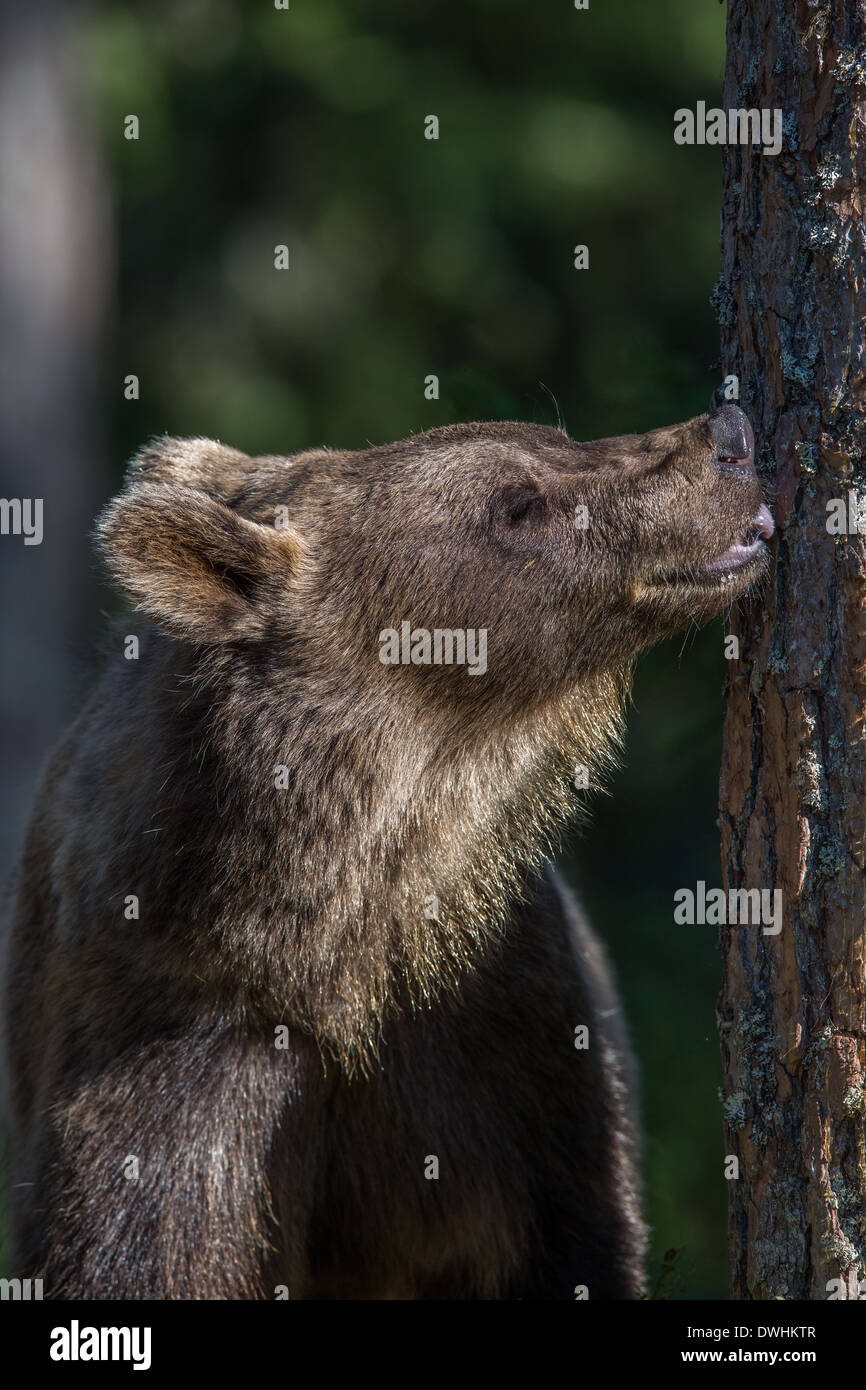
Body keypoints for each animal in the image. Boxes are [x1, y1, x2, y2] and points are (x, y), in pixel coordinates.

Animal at [1, 400, 773, 1299]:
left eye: (557, 434)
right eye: (517, 504)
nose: (728, 436)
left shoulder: (505, 1039)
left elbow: (575, 1235)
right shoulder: (168, 1052)